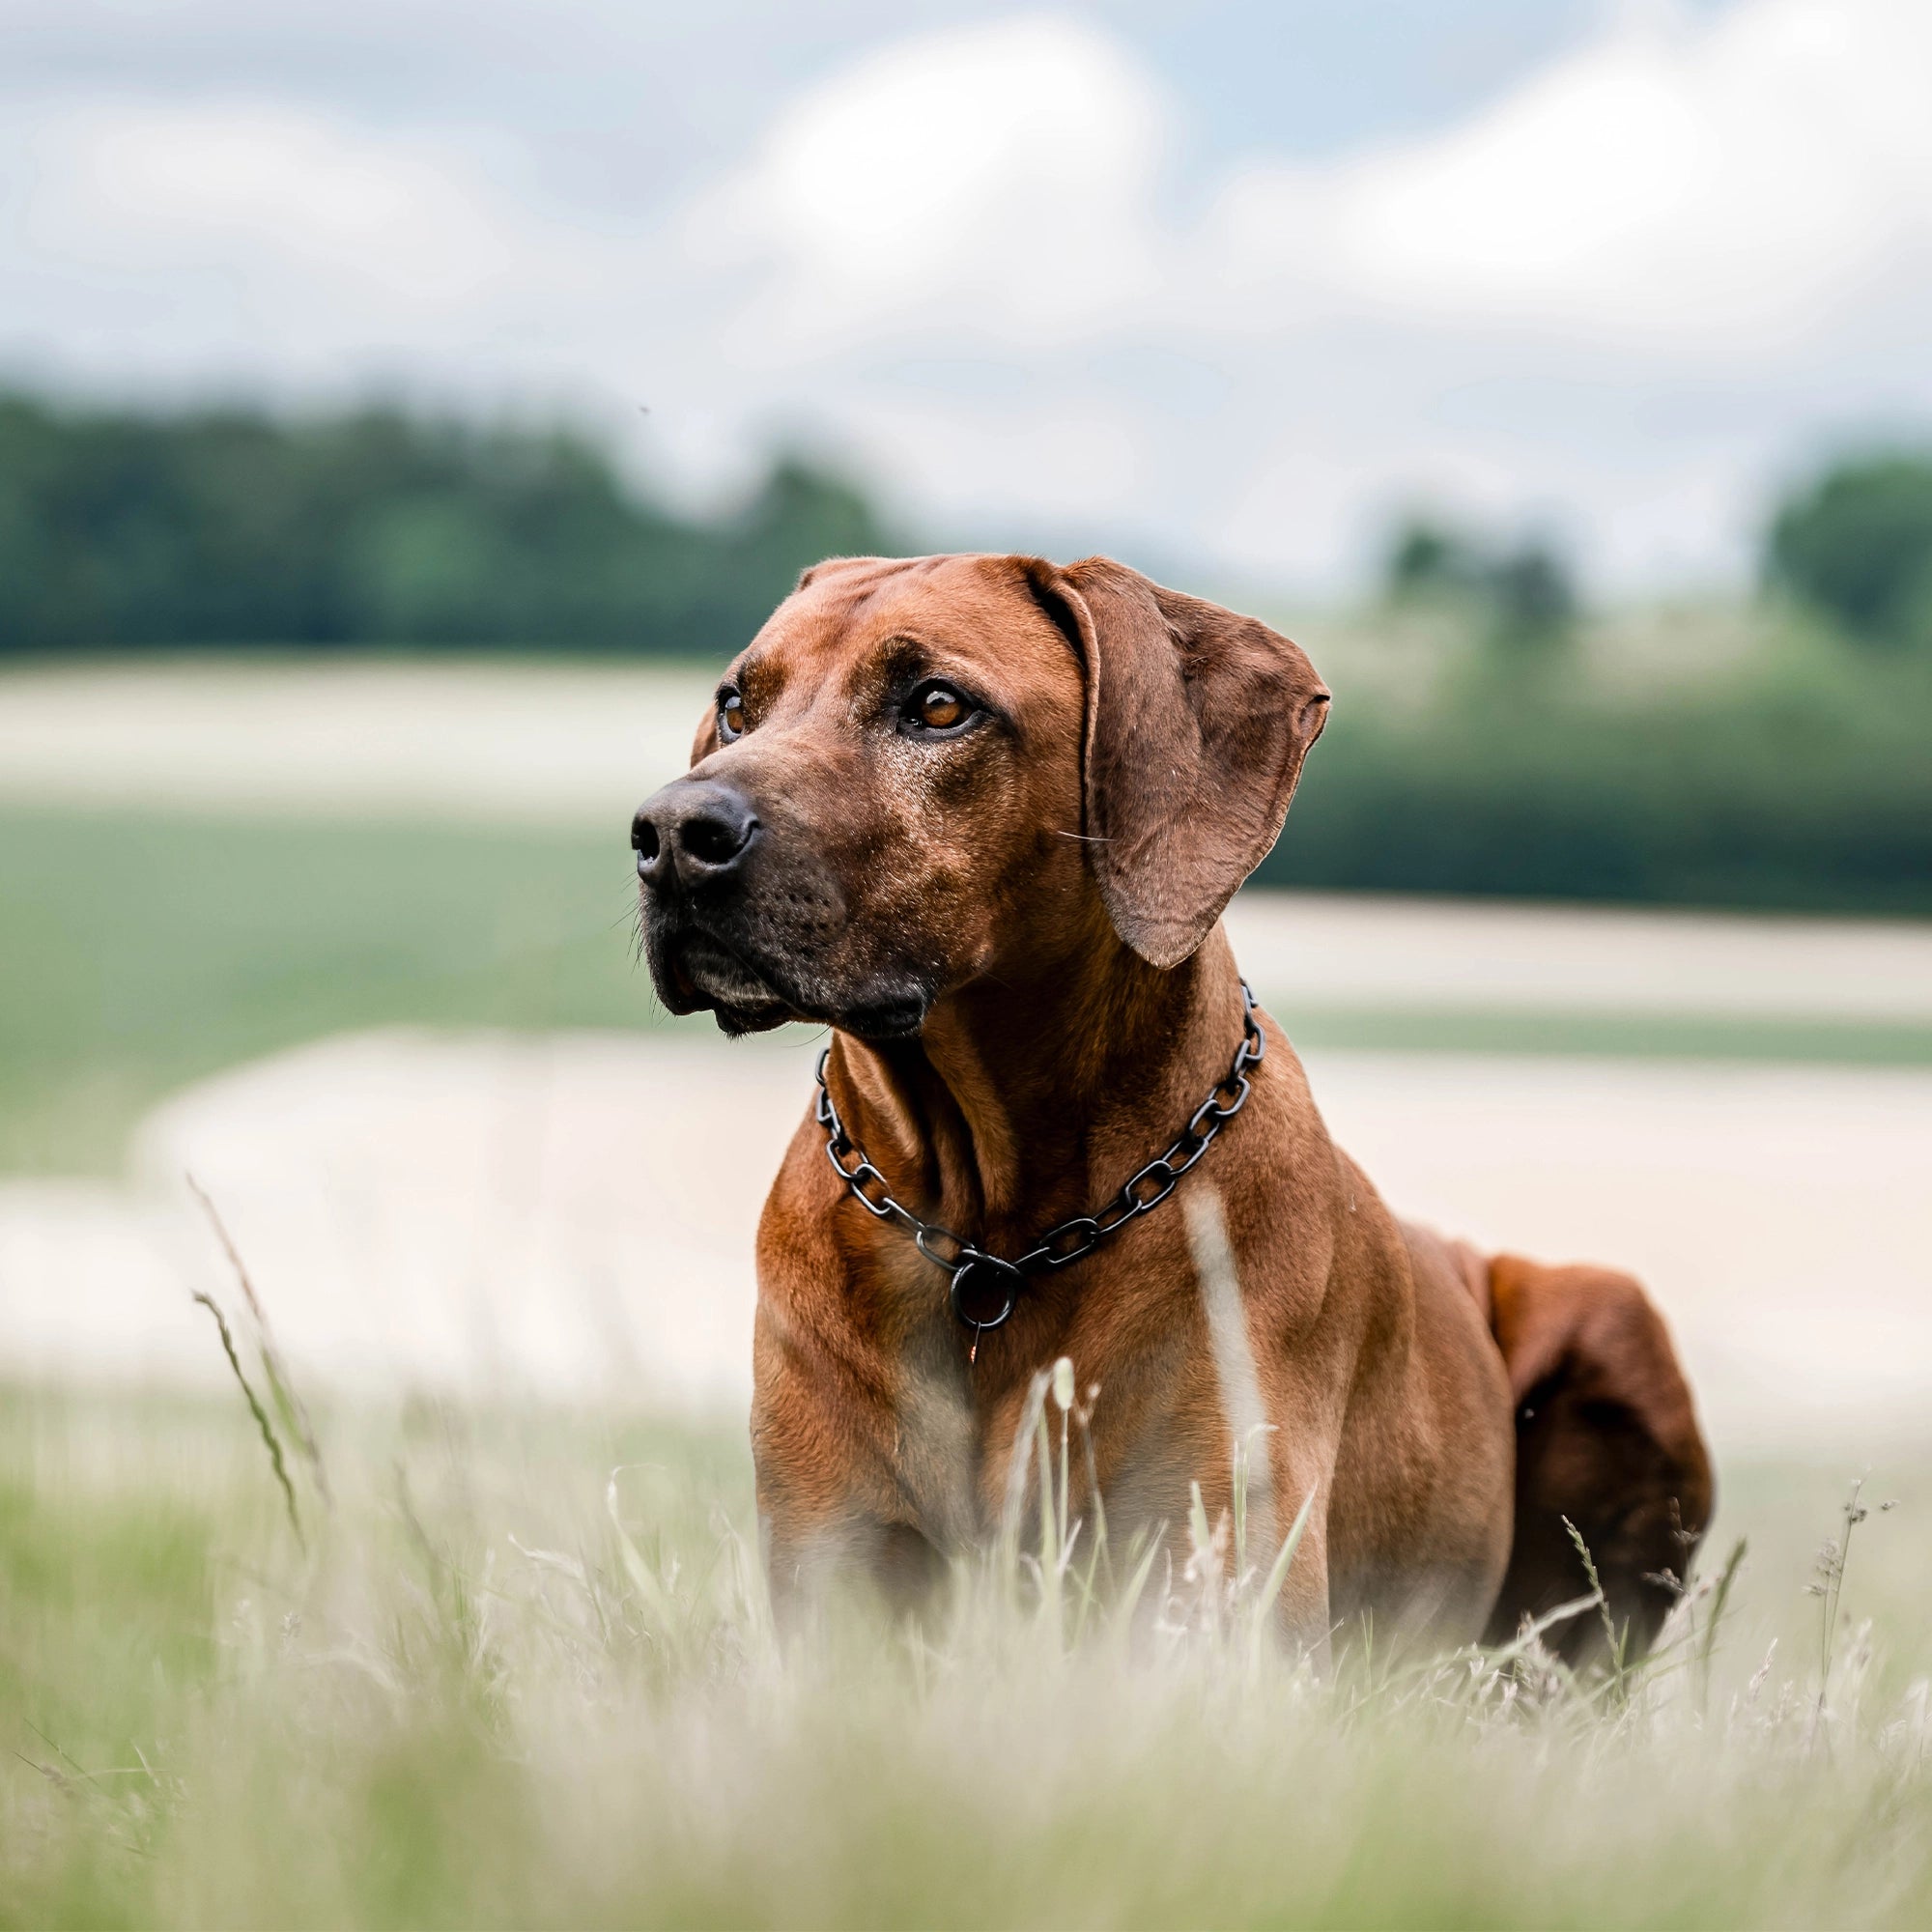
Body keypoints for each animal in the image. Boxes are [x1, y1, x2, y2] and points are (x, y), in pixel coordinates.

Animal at [634, 553, 1708, 1654]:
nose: (671, 834)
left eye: (936, 705)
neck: (994, 1239)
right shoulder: (836, 1565)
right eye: (736, 705)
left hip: (1611, 1315)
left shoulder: (1216, 1571)